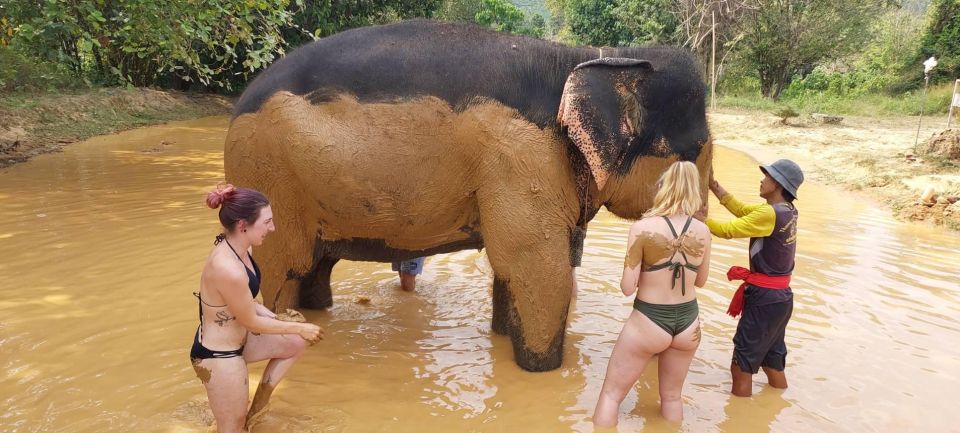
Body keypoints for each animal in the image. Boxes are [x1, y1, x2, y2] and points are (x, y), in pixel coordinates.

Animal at [221, 20, 708, 372]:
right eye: (694, 150)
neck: (589, 57)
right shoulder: (522, 154)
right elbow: (539, 269)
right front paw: (542, 374)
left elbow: (516, 270)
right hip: (268, 177)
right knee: (282, 272)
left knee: (315, 267)